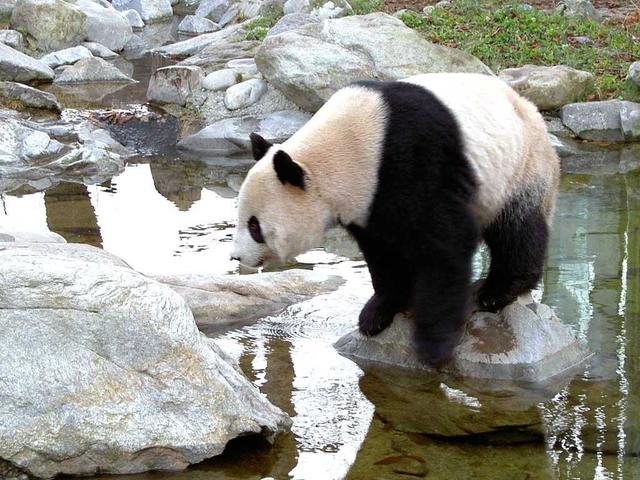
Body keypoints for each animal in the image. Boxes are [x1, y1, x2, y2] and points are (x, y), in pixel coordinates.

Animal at [231, 72, 560, 366]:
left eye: (255, 226)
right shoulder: (368, 201)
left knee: (517, 229)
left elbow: (445, 246)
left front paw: (433, 345)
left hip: (520, 168)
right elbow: (382, 253)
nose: (236, 257)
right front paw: (376, 315)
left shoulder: (416, 159)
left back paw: (498, 291)